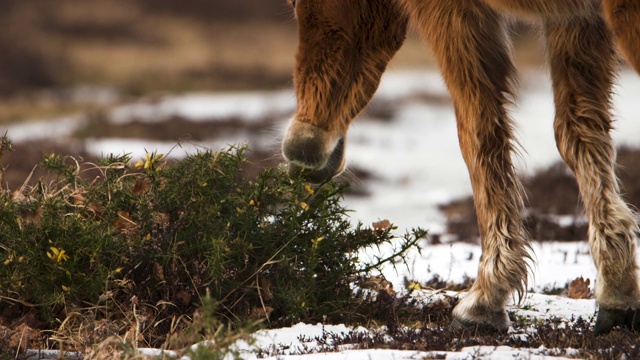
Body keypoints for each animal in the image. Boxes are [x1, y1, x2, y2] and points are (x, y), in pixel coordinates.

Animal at [282, 0, 640, 334]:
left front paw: (485, 299)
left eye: (295, 3)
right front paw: (618, 288)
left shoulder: (450, 15)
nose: (300, 153)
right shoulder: (575, 21)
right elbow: (579, 131)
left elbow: (478, 133)